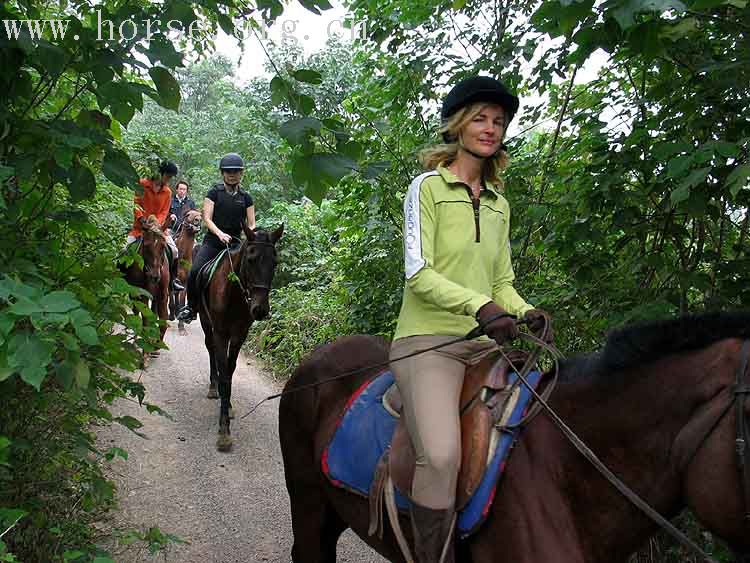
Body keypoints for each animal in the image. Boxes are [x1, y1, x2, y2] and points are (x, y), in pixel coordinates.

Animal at [121, 214, 170, 354]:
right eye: (147, 246)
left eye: (163, 246)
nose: (155, 276)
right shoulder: (142, 294)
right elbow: (145, 319)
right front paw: (145, 351)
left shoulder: (163, 295)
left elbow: (163, 320)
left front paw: (156, 346)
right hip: (134, 293)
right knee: (136, 313)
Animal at [198, 223, 284, 452]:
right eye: (251, 259)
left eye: (275, 262)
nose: (260, 310)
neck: (235, 294)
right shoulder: (220, 333)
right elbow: (224, 374)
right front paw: (224, 431)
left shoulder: (239, 335)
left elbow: (230, 371)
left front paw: (228, 406)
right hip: (205, 322)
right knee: (210, 349)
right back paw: (213, 387)